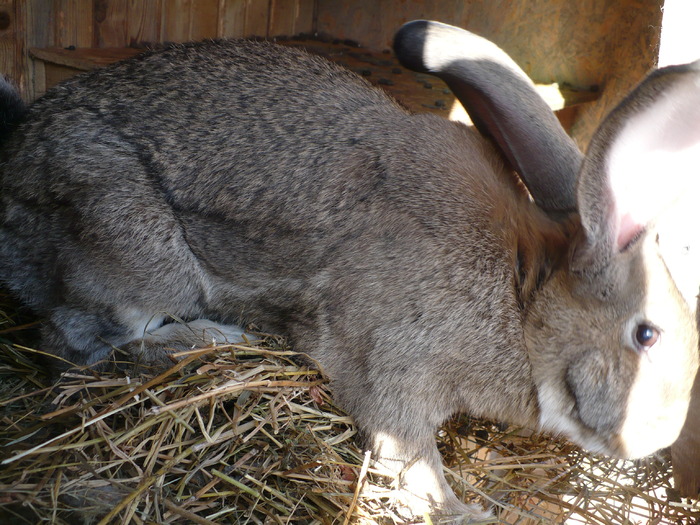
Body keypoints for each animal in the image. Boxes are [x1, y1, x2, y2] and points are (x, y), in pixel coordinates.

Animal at [1, 19, 700, 520]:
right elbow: (412, 460)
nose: (658, 439)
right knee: (81, 344)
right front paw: (461, 512)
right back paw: (218, 337)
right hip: (133, 242)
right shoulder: (393, 365)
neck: (522, 294)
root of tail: (14, 169)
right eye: (646, 335)